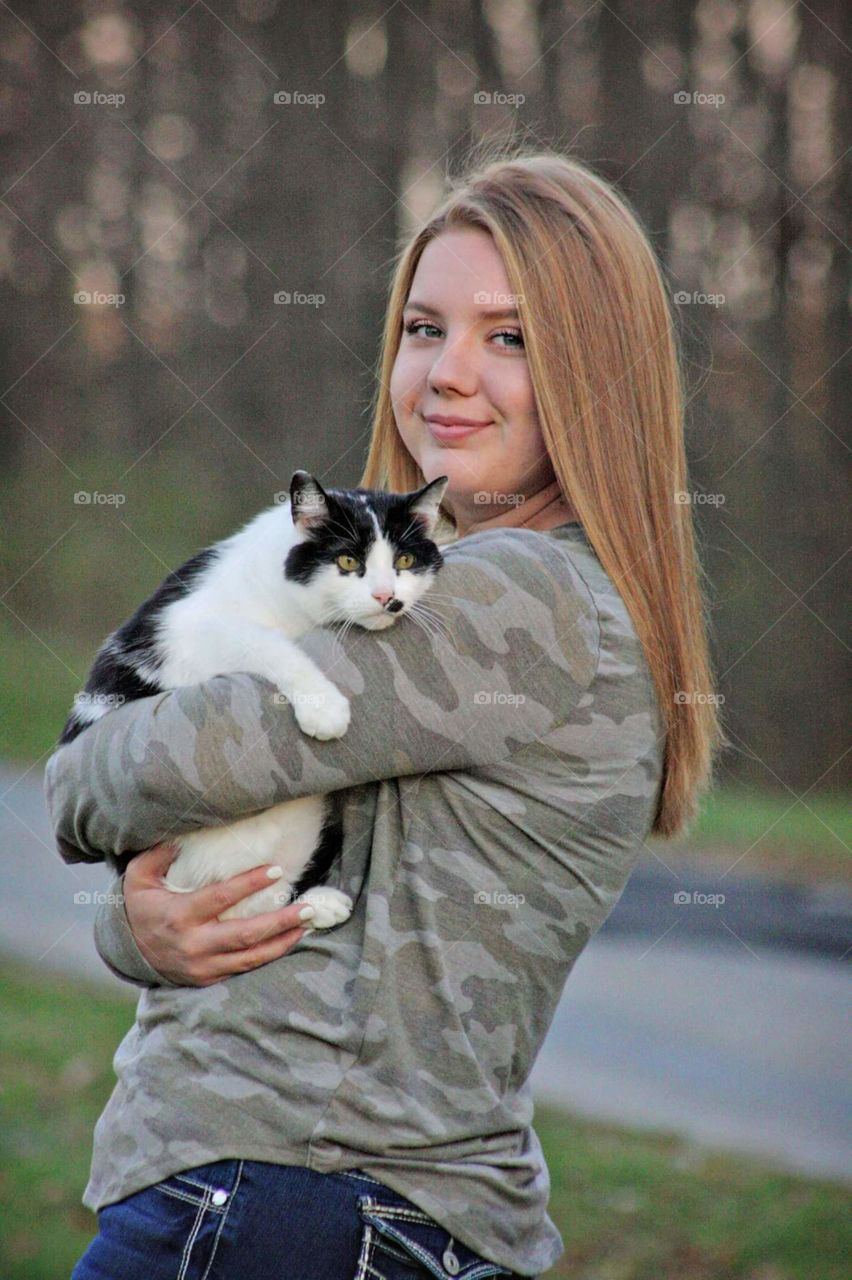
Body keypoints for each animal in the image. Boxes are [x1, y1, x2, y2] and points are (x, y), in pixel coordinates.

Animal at [60, 471, 447, 931]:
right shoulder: (190, 634)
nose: (389, 598)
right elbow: (266, 642)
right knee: (239, 905)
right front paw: (324, 709)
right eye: (349, 562)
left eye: (404, 561)